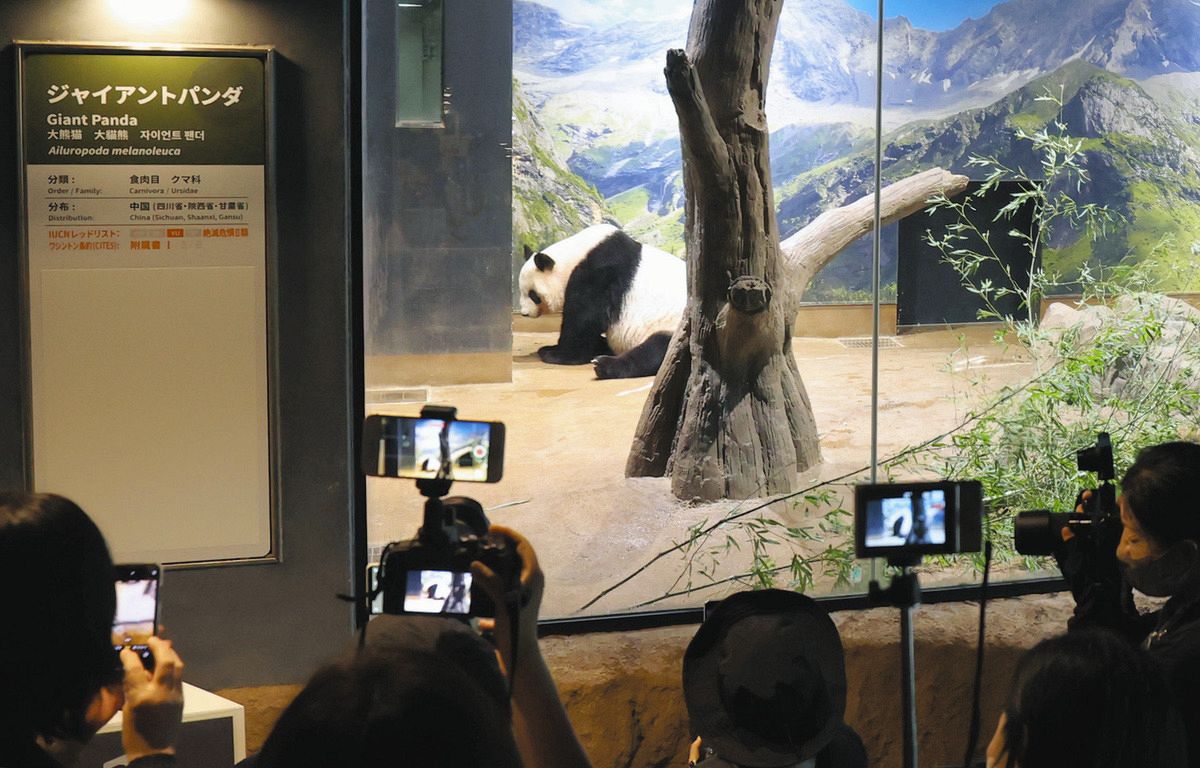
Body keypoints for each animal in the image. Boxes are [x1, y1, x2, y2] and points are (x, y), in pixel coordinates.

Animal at [520, 222, 691, 379]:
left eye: (533, 295)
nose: (524, 313)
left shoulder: (599, 273)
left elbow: (584, 318)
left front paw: (555, 353)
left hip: (674, 326)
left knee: (658, 350)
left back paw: (604, 365)